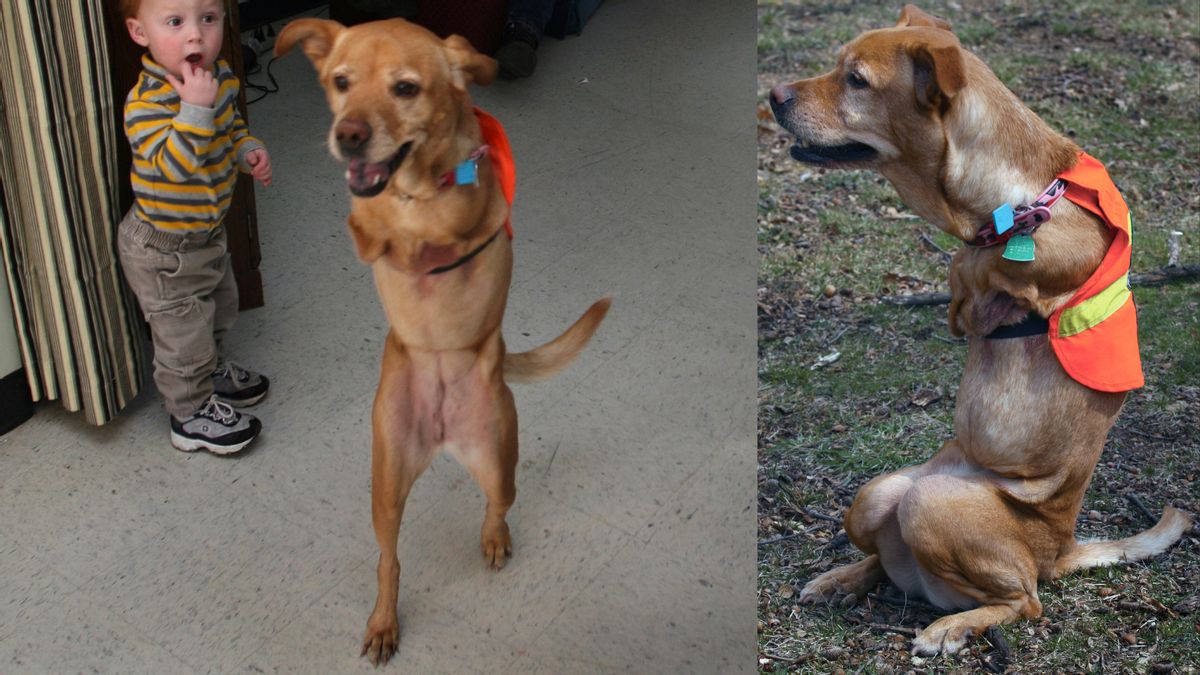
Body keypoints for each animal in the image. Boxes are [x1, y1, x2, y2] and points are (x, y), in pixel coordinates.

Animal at [274, 19, 604, 662]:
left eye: (405, 88)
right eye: (340, 82)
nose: (348, 136)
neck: (411, 187)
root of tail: (444, 437)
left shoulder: (479, 210)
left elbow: (449, 221)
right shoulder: (366, 217)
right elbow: (370, 227)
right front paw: (390, 232)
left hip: (500, 460)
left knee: (498, 505)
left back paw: (495, 537)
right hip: (385, 488)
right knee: (390, 561)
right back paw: (384, 620)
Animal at [768, 3, 1190, 658]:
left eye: (857, 80)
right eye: (838, 66)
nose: (773, 96)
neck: (1009, 194)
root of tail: (1059, 550)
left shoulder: (1063, 247)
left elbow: (988, 260)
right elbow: (967, 269)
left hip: (935, 507)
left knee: (1025, 601)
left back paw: (952, 626)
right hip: (877, 495)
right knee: (888, 556)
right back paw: (842, 579)